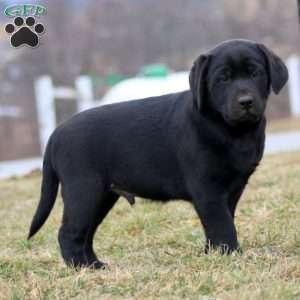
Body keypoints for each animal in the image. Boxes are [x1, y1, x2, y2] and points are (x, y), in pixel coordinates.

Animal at [28, 39, 288, 268]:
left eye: (255, 73)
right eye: (223, 78)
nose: (246, 101)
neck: (229, 129)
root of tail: (55, 133)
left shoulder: (234, 187)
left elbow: (221, 223)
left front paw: (212, 253)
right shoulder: (208, 190)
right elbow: (222, 225)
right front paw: (231, 255)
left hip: (102, 195)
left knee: (86, 234)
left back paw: (96, 265)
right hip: (83, 189)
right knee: (68, 233)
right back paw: (81, 268)